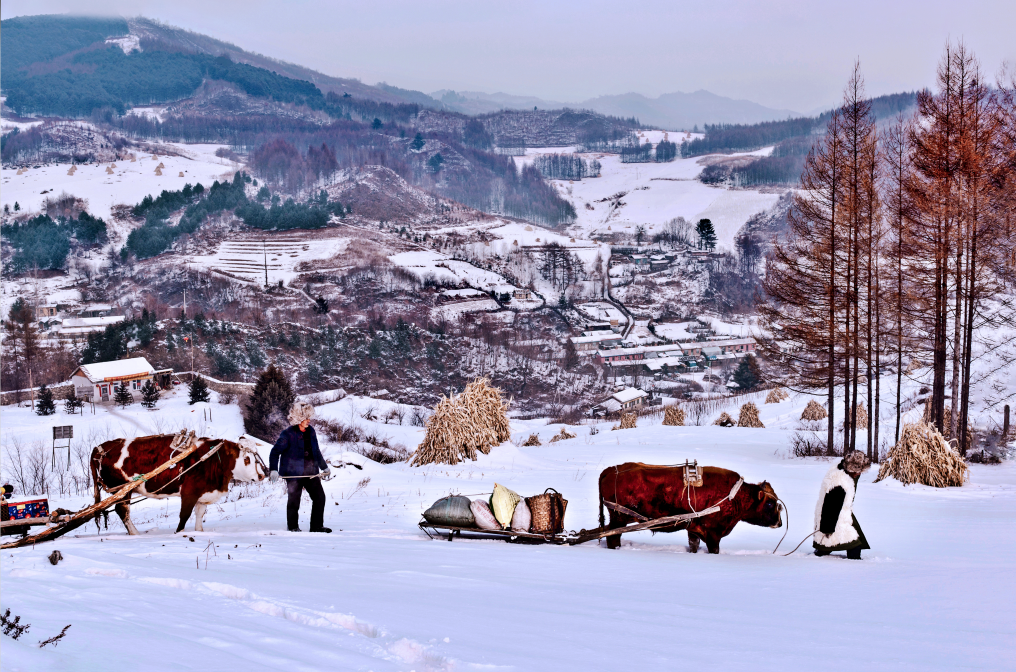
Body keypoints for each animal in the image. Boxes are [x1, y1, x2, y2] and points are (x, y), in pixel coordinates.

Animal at [91, 435, 266, 532]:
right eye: (246, 459)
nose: (262, 475)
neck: (211, 458)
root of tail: (101, 448)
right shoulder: (189, 492)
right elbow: (184, 515)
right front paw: (179, 533)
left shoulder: (203, 494)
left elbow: (199, 514)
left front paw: (199, 532)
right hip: (122, 490)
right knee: (122, 510)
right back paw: (135, 533)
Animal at [597, 461, 780, 548]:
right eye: (770, 503)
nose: (780, 522)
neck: (734, 495)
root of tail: (609, 470)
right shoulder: (713, 534)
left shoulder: (694, 531)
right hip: (619, 518)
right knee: (612, 536)